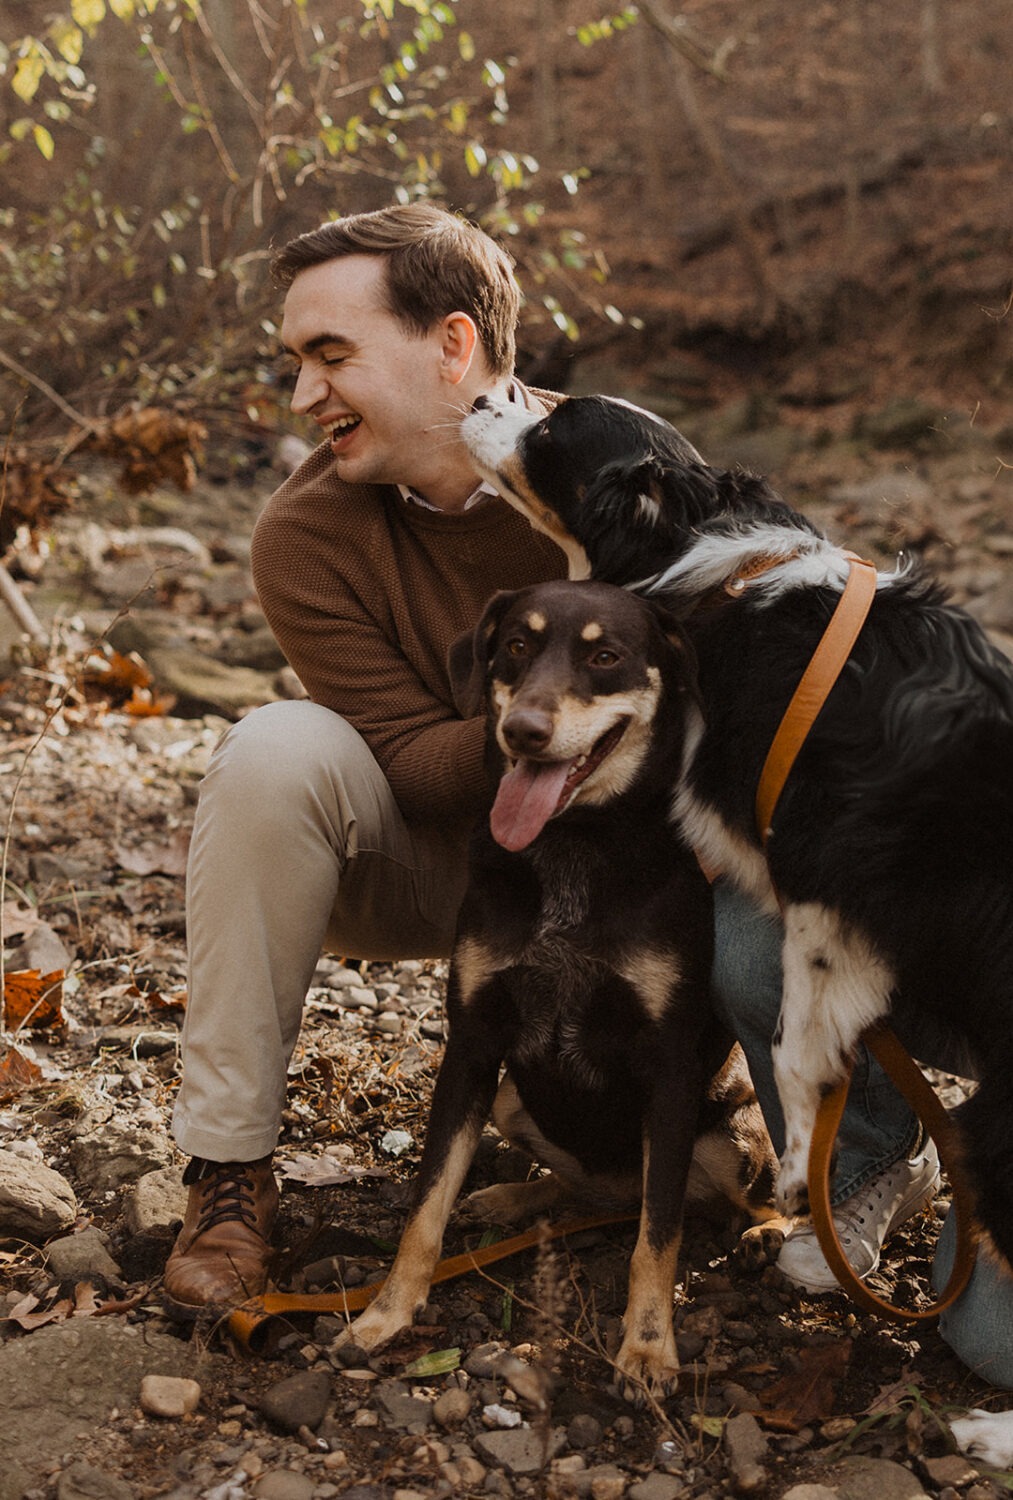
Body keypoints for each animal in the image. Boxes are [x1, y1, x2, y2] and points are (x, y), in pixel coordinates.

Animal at [462, 390, 1013, 1278]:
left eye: (549, 427)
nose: (481, 394)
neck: (711, 572)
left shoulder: (823, 877)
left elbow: (793, 1046)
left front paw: (794, 1176)